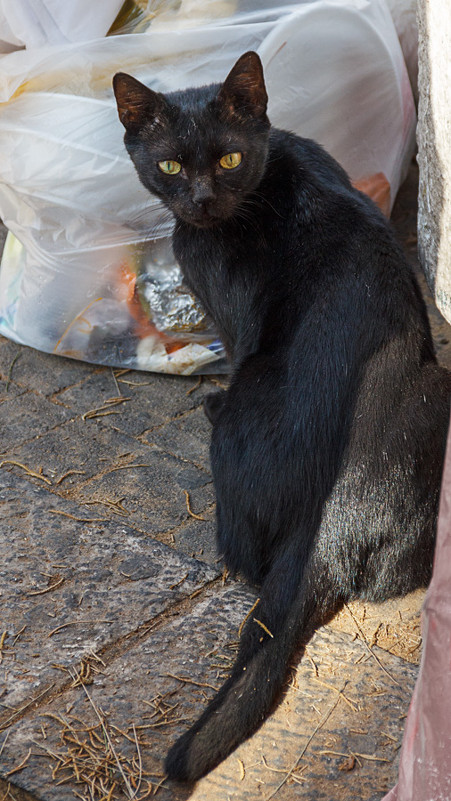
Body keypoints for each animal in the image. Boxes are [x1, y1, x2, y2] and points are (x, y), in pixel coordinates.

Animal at [114, 51, 451, 780]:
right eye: (171, 165)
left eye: (230, 158)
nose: (200, 200)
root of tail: (322, 526)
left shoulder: (231, 323)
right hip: (437, 388)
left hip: (242, 421)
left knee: (244, 559)